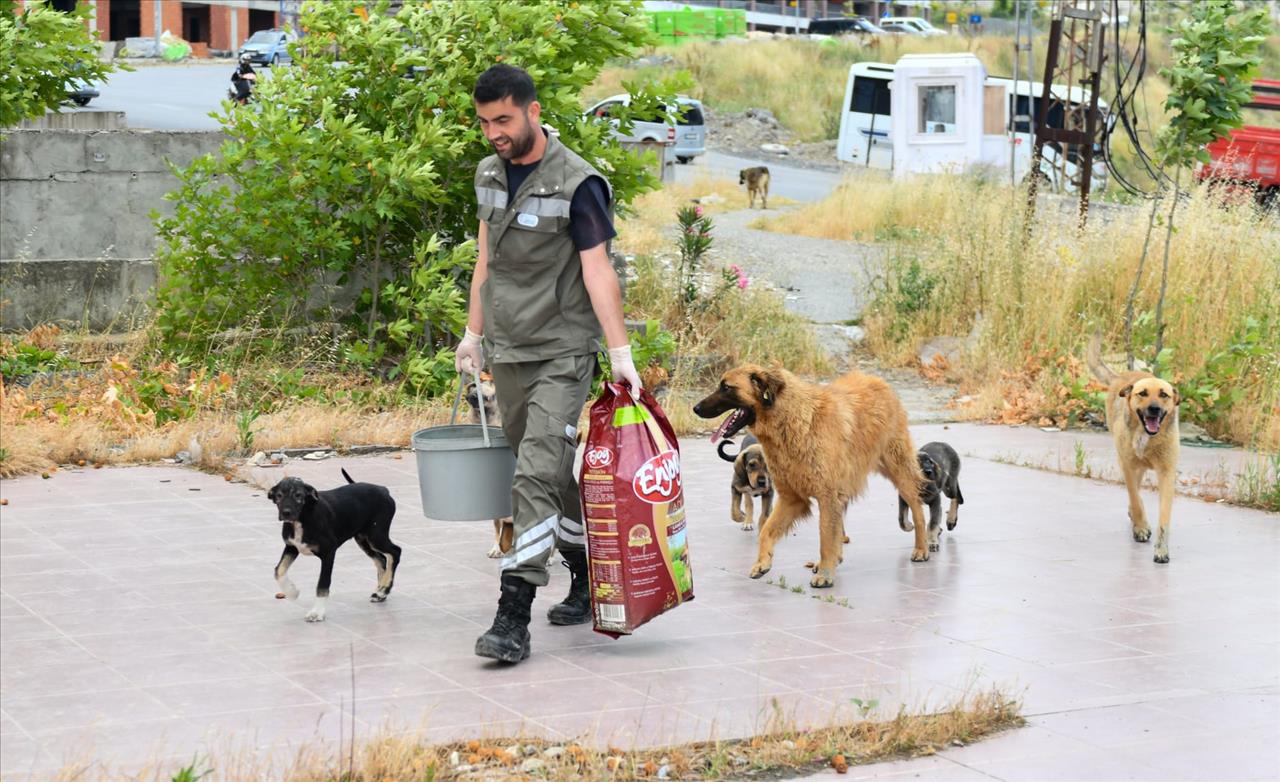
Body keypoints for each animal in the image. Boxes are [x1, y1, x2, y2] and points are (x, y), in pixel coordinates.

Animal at [263, 465, 394, 624]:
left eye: (298, 495)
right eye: (279, 496)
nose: (286, 513)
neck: (303, 518)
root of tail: (384, 490)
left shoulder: (328, 552)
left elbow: (322, 583)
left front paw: (317, 612)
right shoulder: (292, 547)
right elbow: (279, 571)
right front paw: (292, 592)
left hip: (376, 535)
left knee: (395, 552)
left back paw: (384, 589)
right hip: (363, 539)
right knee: (381, 559)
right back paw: (380, 592)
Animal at [696, 366, 926, 588]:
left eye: (726, 387)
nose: (695, 408)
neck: (793, 420)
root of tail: (880, 382)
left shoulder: (827, 496)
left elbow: (825, 538)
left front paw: (825, 575)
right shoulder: (792, 498)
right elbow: (767, 530)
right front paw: (763, 563)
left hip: (899, 470)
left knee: (917, 508)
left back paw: (922, 549)